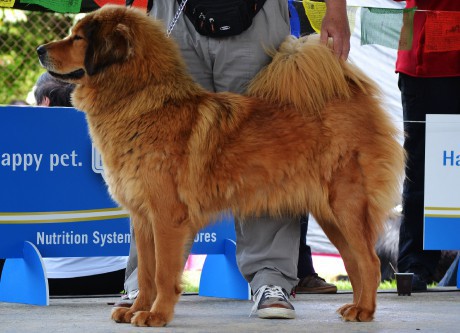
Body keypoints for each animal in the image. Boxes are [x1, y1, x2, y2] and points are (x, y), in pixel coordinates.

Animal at [38, 5, 402, 326]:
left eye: (78, 38)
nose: (41, 49)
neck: (140, 101)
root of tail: (348, 92)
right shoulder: (142, 218)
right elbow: (145, 274)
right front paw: (137, 309)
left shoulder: (167, 217)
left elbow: (162, 272)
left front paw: (156, 315)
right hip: (330, 215)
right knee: (355, 263)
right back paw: (356, 307)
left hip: (345, 206)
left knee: (369, 262)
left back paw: (364, 311)